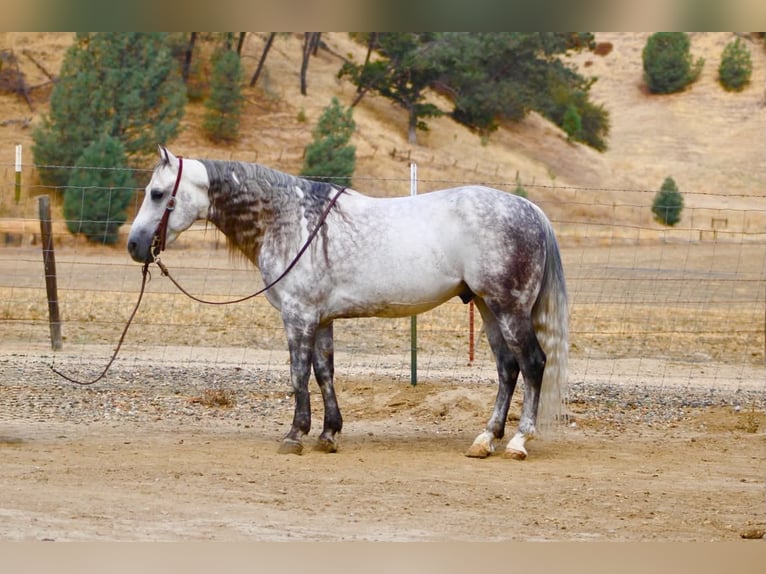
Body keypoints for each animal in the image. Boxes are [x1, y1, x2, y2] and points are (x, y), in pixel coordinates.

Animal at [127, 147, 568, 460]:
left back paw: (518, 442)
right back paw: (486, 439)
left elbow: (298, 375)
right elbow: (324, 372)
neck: (289, 220)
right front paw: (328, 433)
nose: (134, 245)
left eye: (157, 193)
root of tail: (531, 209)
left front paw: (295, 434)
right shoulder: (321, 319)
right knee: (507, 369)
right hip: (487, 307)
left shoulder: (299, 316)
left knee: (533, 364)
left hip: (509, 309)